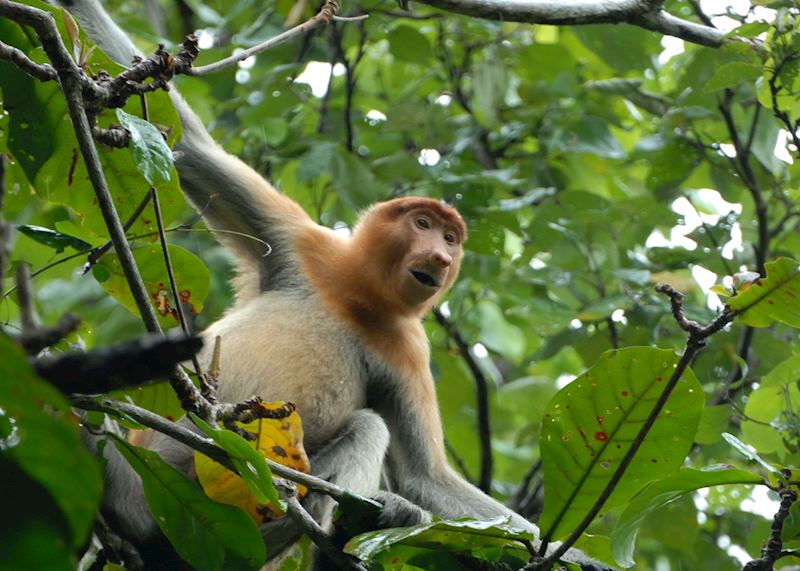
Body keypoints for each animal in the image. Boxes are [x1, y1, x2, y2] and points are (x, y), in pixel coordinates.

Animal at [53, 1, 605, 569]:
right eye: (424, 224)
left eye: (452, 237)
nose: (441, 257)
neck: (356, 296)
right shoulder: (303, 243)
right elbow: (190, 146)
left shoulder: (408, 348)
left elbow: (424, 477)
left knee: (367, 429)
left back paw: (351, 530)